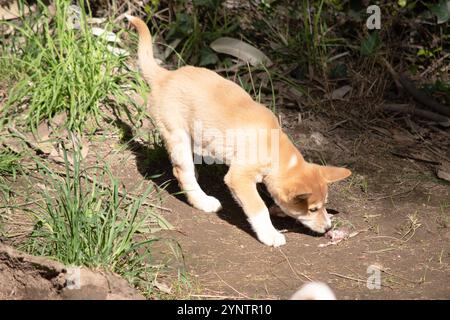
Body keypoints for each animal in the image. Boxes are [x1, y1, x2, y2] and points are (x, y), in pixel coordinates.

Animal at [125, 16, 352, 248]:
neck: (274, 147)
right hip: (177, 135)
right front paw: (270, 234)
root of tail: (165, 76)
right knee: (182, 171)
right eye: (313, 209)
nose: (328, 228)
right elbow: (259, 208)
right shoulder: (239, 177)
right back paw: (202, 200)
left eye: (324, 205)